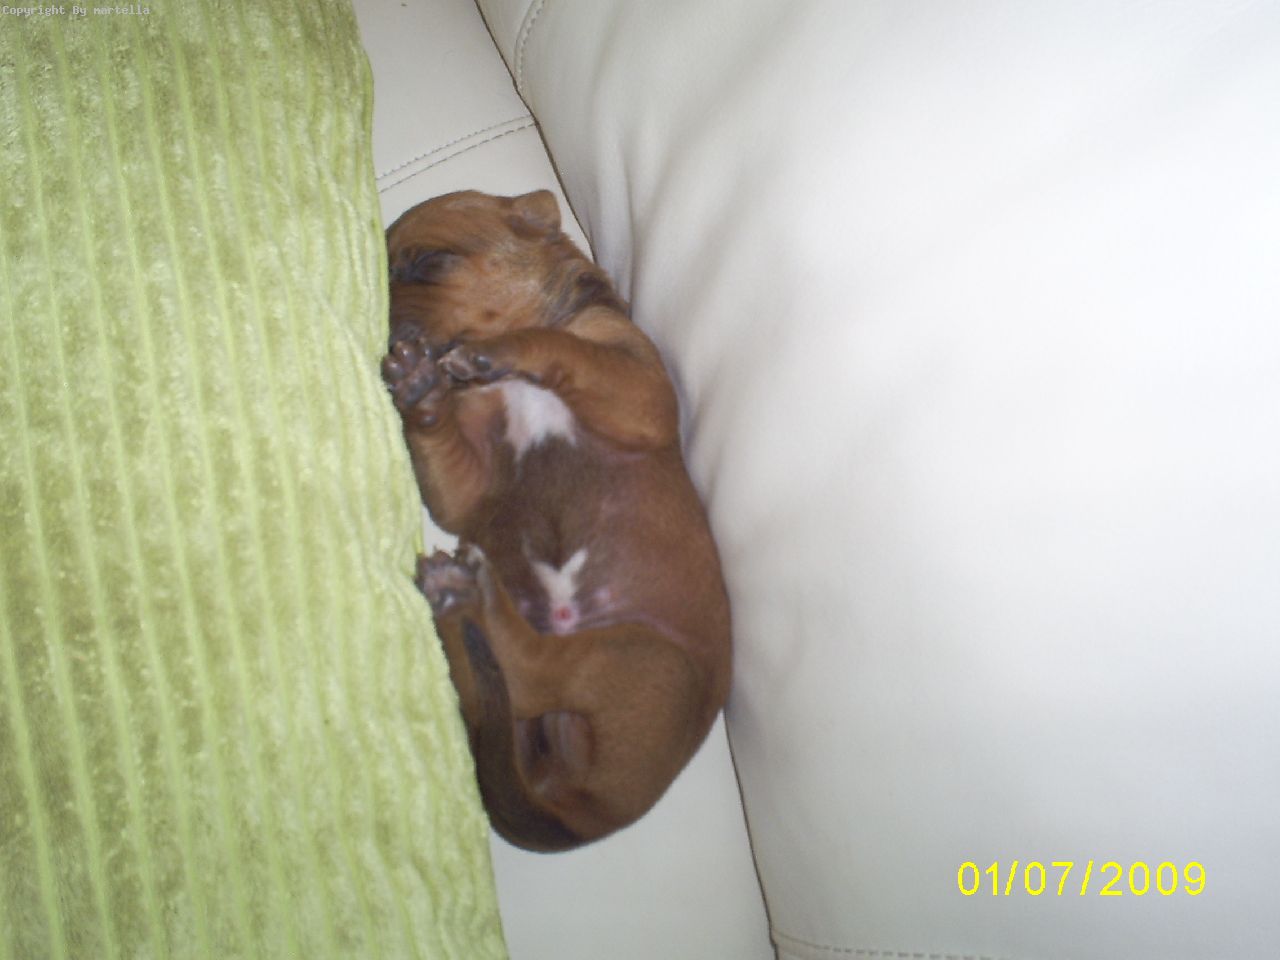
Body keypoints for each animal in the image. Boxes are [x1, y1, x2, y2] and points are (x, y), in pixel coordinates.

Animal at [381, 190, 732, 851]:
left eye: (431, 262)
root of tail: (582, 815)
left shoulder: (640, 390)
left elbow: (562, 345)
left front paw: (505, 348)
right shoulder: (467, 488)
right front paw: (419, 391)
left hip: (639, 656)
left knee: (533, 670)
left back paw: (470, 601)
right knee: (493, 689)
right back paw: (458, 604)